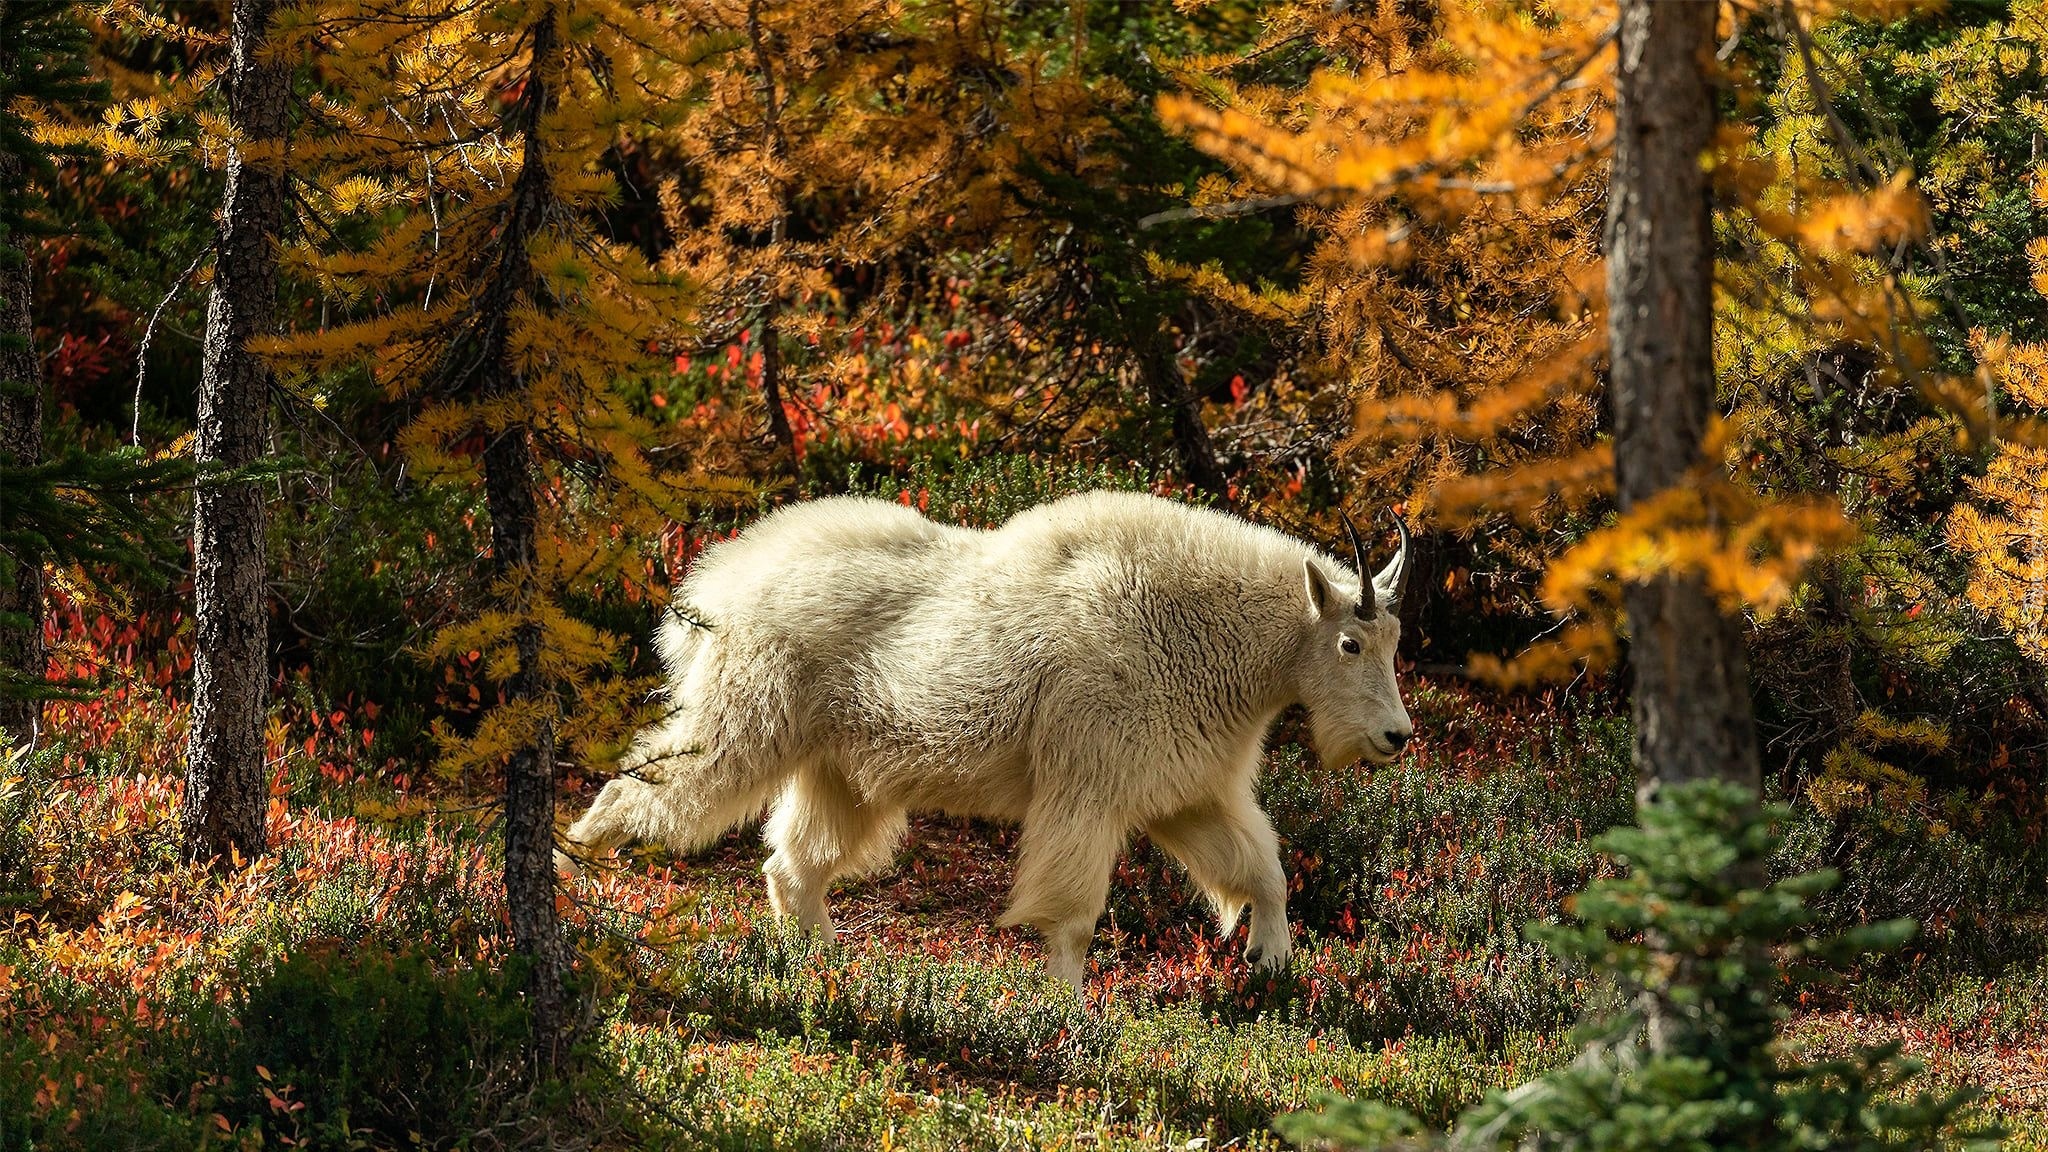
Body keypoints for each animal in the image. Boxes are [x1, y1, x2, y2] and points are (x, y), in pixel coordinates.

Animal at [561, 487, 1409, 983]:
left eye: (1397, 639)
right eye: (1350, 644)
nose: (1398, 736)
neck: (1208, 631)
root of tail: (709, 592)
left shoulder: (1184, 789)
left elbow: (1262, 868)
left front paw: (1271, 956)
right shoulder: (1089, 784)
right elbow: (1073, 918)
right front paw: (1068, 1016)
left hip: (837, 769)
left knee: (792, 866)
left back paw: (828, 969)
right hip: (746, 721)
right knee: (638, 788)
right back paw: (575, 878)